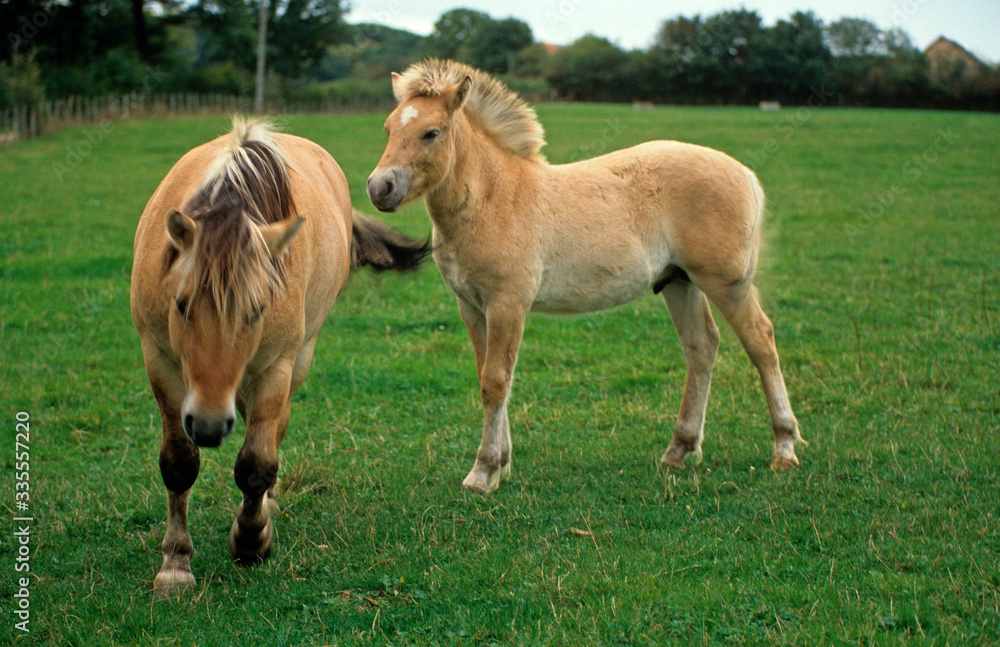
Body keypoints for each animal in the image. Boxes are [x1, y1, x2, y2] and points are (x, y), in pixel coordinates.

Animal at [131, 117, 428, 596]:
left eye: (258, 310)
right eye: (180, 304)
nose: (210, 424)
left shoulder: (276, 366)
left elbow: (256, 465)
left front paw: (251, 540)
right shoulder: (158, 360)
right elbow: (178, 464)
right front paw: (176, 563)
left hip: (299, 357)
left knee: (273, 430)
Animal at [368, 62, 804, 496]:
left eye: (432, 132)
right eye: (388, 128)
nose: (379, 187)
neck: (493, 198)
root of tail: (745, 173)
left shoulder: (508, 304)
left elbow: (495, 381)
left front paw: (484, 471)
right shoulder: (472, 307)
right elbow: (489, 378)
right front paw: (502, 464)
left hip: (727, 283)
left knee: (760, 341)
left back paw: (784, 448)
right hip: (680, 282)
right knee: (701, 347)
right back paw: (678, 450)